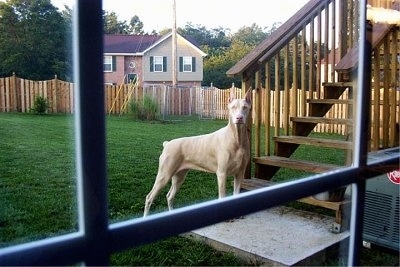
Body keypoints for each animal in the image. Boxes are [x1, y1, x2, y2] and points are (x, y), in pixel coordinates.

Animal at [142, 89, 252, 217]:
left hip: (179, 175)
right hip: (164, 175)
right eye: (233, 107)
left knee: (169, 196)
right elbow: (222, 196)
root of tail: (167, 144)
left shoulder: (240, 173)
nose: (239, 118)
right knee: (149, 197)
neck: (236, 139)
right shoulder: (222, 173)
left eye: (245, 107)